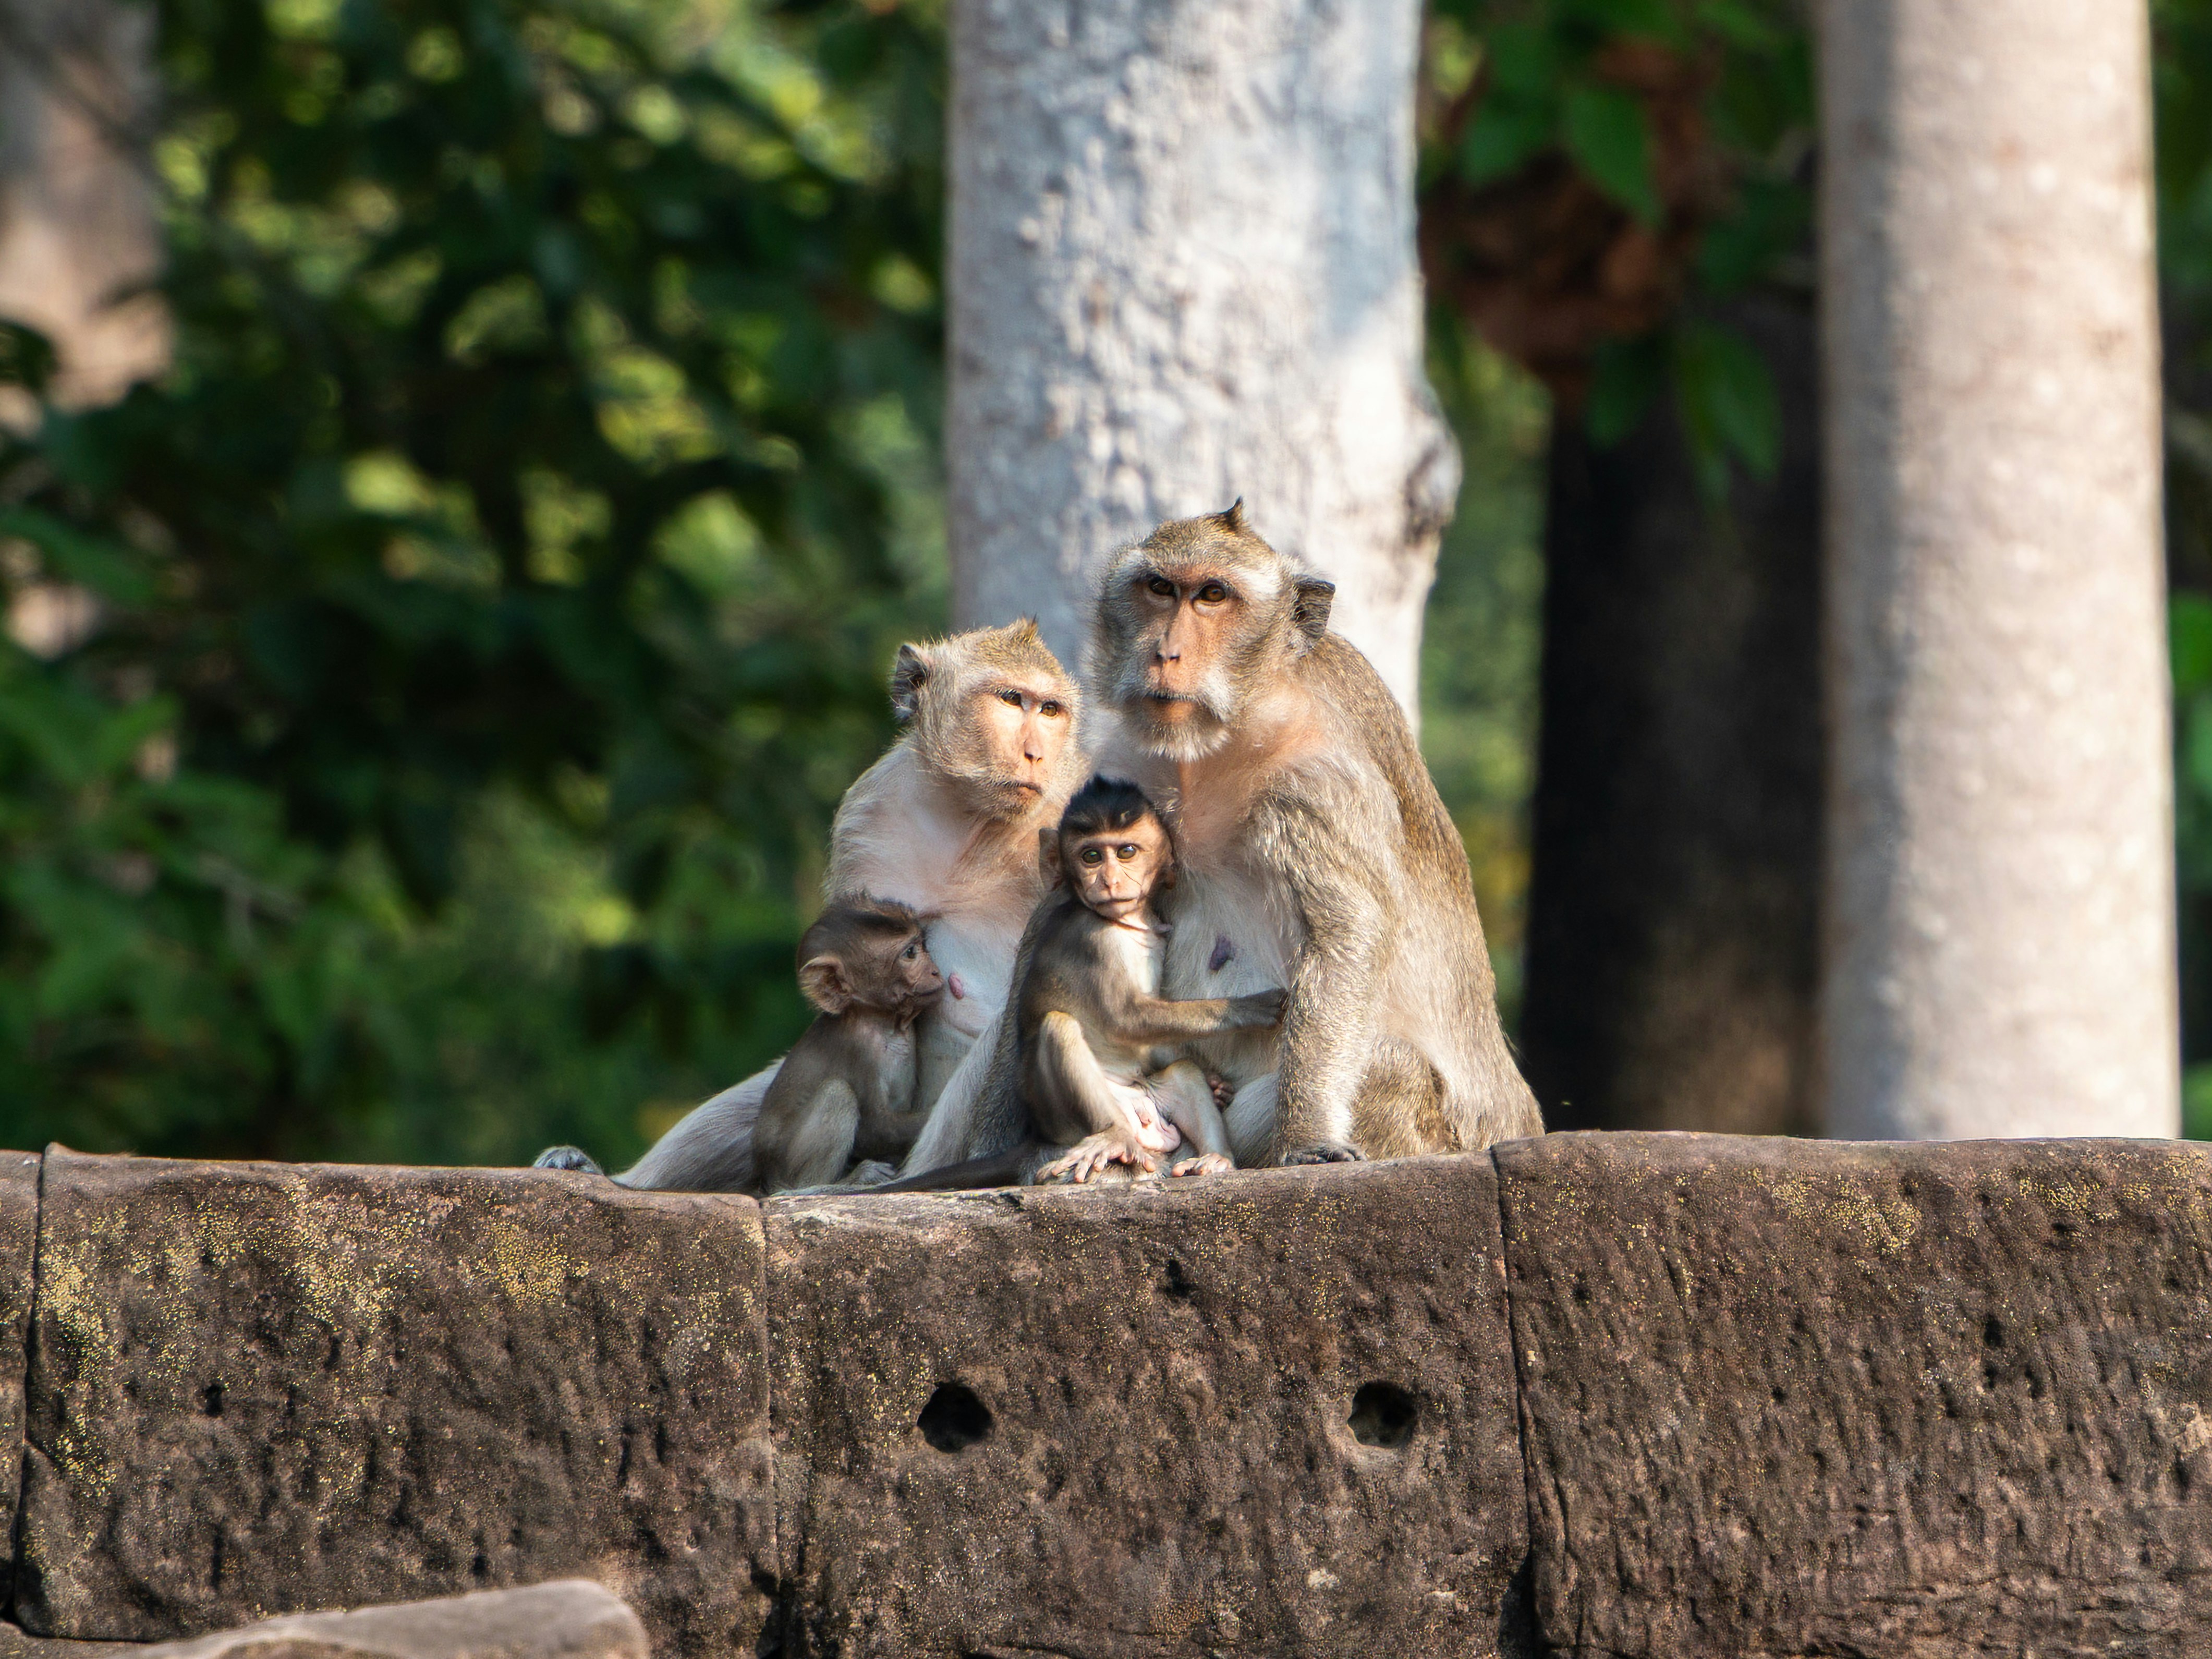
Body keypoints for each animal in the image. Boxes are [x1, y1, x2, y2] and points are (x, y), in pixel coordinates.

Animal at [746, 899, 943, 1195]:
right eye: (910, 954)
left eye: (923, 946)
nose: (935, 972)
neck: (880, 1021)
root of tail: (766, 1178)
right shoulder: (860, 1051)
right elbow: (878, 1130)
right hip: (788, 1170)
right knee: (837, 1093)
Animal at [896, 502, 1543, 1176]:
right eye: (1159, 588)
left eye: (1213, 595)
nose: (1166, 652)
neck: (1221, 742)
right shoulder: (1121, 770)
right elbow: (1055, 923)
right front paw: (998, 1146)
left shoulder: (1321, 784)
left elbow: (1349, 935)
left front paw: (1308, 1136)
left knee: (1392, 1069)